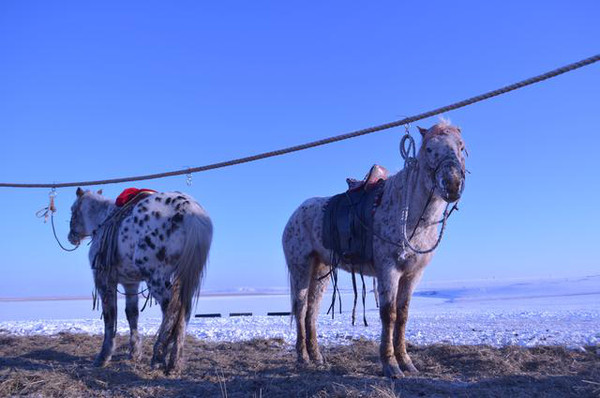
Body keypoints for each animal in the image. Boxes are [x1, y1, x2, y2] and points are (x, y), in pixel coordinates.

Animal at [68, 187, 213, 374]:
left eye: (72, 210)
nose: (71, 236)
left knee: (171, 309)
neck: (103, 220)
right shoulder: (131, 283)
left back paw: (159, 356)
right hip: (185, 277)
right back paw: (175, 362)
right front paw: (134, 352)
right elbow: (132, 314)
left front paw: (104, 356)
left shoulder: (104, 281)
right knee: (184, 311)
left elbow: (110, 317)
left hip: (156, 279)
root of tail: (190, 209)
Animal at [284, 119, 466, 378]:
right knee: (300, 309)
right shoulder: (388, 270)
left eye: (461, 147)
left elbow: (403, 315)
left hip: (321, 271)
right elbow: (388, 314)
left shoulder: (413, 274)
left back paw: (317, 357)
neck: (408, 211)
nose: (452, 184)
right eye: (429, 149)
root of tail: (296, 214)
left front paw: (407, 363)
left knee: (311, 311)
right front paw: (391, 365)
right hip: (300, 267)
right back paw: (302, 358)